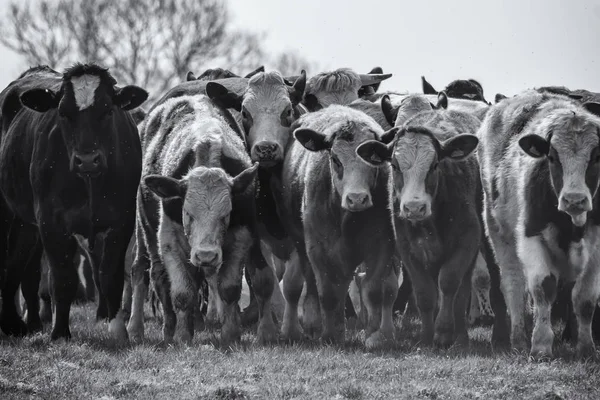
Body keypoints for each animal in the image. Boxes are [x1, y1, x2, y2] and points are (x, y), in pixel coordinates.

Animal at [0, 63, 148, 340]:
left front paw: (117, 330)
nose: (87, 160)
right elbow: (62, 279)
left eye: (107, 110)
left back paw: (17, 324)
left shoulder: (121, 222)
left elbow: (109, 276)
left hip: (26, 224)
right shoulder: (51, 222)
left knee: (17, 266)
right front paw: (60, 332)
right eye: (62, 112)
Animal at [282, 105, 404, 346]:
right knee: (308, 285)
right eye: (336, 159)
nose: (357, 199)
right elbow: (327, 293)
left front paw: (374, 334)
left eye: (372, 160)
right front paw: (331, 334)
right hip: (301, 245)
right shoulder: (318, 250)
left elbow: (374, 290)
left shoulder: (382, 244)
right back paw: (311, 325)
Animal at [356, 106, 482, 346]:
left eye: (434, 165)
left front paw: (443, 332)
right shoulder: (407, 248)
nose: (414, 207)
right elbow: (424, 293)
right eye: (395, 166)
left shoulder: (467, 240)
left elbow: (450, 282)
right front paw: (426, 337)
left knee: (462, 291)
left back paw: (460, 335)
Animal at [478, 90, 600, 360]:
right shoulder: (531, 235)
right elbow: (544, 287)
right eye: (552, 157)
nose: (574, 200)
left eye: (597, 158)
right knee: (513, 285)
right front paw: (542, 344)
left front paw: (586, 347)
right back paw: (518, 338)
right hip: (499, 234)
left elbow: (585, 299)